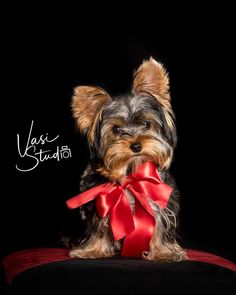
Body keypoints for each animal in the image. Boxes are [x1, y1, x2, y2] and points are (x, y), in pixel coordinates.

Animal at [66, 57, 186, 262]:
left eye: (146, 124)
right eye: (116, 130)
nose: (136, 146)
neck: (130, 172)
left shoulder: (159, 199)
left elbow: (161, 224)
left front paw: (164, 252)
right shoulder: (97, 200)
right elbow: (98, 226)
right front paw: (92, 250)